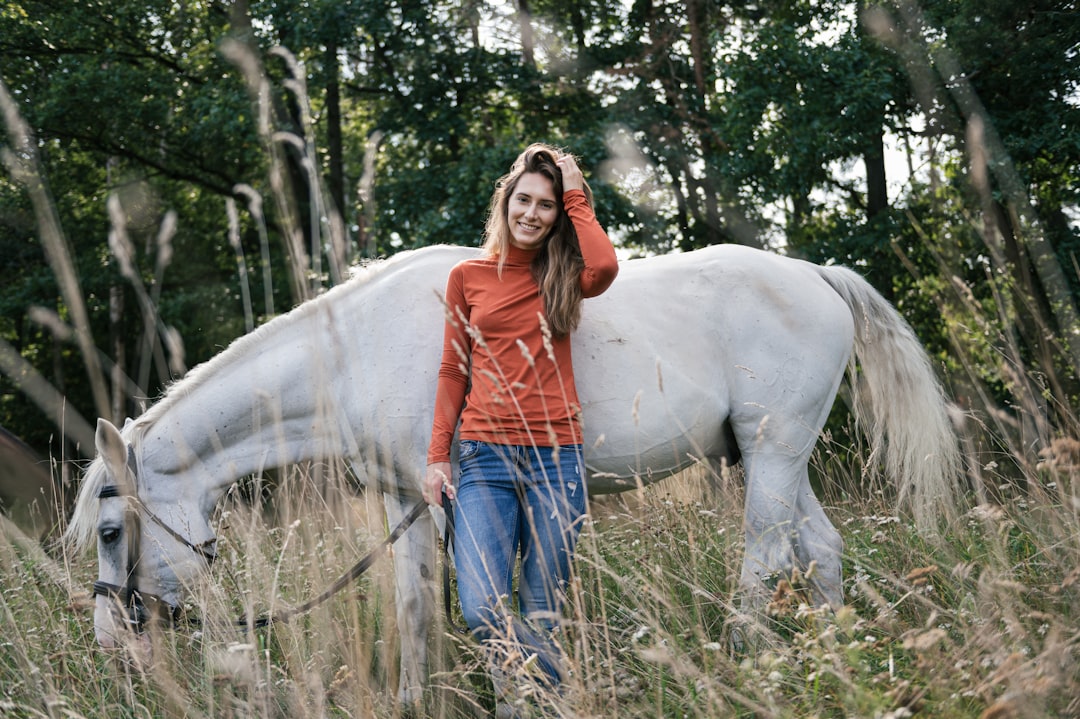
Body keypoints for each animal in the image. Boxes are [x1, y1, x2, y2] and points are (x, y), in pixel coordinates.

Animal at [67, 243, 959, 703]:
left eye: (112, 531)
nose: (111, 642)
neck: (354, 353)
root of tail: (815, 275)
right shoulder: (407, 498)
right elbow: (417, 611)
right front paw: (417, 702)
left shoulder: (456, 502)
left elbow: (485, 609)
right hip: (778, 456)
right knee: (821, 552)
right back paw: (833, 663)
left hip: (771, 458)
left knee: (764, 561)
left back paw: (743, 666)